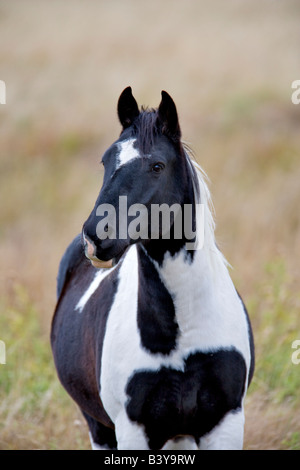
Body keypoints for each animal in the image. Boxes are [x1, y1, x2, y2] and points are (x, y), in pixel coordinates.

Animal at [50, 86, 254, 450]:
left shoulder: (225, 423)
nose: (95, 237)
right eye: (106, 161)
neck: (181, 336)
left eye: (157, 165)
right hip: (100, 427)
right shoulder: (134, 430)